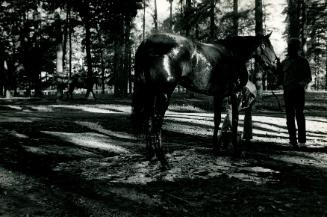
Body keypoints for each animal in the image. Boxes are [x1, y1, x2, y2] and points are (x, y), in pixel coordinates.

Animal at [132, 33, 278, 167]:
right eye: (264, 45)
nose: (275, 64)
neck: (233, 55)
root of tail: (147, 43)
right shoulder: (234, 95)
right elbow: (235, 122)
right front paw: (237, 151)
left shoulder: (218, 95)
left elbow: (217, 120)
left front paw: (216, 149)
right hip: (163, 93)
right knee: (156, 122)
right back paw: (163, 161)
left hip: (150, 93)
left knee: (148, 120)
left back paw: (152, 156)